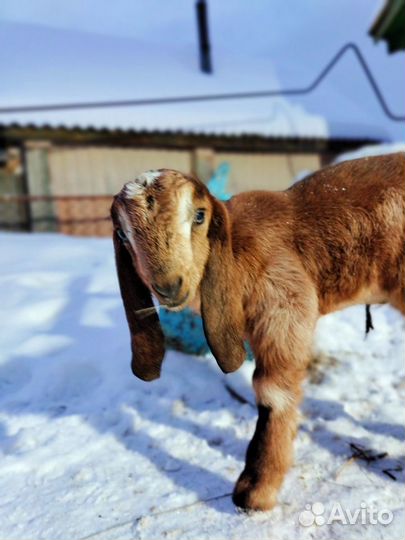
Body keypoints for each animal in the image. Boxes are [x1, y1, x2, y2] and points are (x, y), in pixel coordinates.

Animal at [110, 153, 404, 510]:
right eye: (123, 235)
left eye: (199, 216)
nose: (169, 285)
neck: (236, 247)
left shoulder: (284, 305)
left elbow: (272, 393)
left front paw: (255, 491)